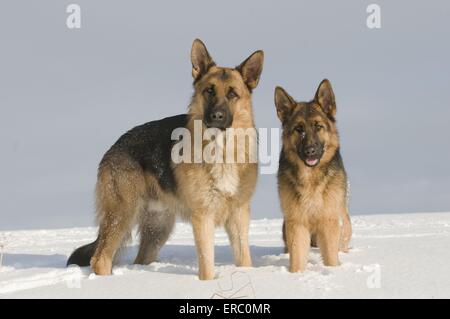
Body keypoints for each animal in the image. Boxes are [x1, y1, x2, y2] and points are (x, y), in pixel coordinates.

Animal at [67, 39, 264, 280]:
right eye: (209, 91)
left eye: (232, 94)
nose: (216, 116)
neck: (221, 149)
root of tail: (113, 147)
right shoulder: (203, 217)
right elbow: (207, 265)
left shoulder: (239, 215)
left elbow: (244, 259)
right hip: (122, 215)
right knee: (100, 258)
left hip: (158, 229)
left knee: (139, 258)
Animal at [274, 80, 352, 272]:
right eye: (298, 129)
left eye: (318, 126)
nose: (310, 151)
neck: (311, 178)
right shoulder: (296, 223)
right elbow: (297, 259)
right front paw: (296, 275)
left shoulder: (329, 221)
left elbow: (331, 257)